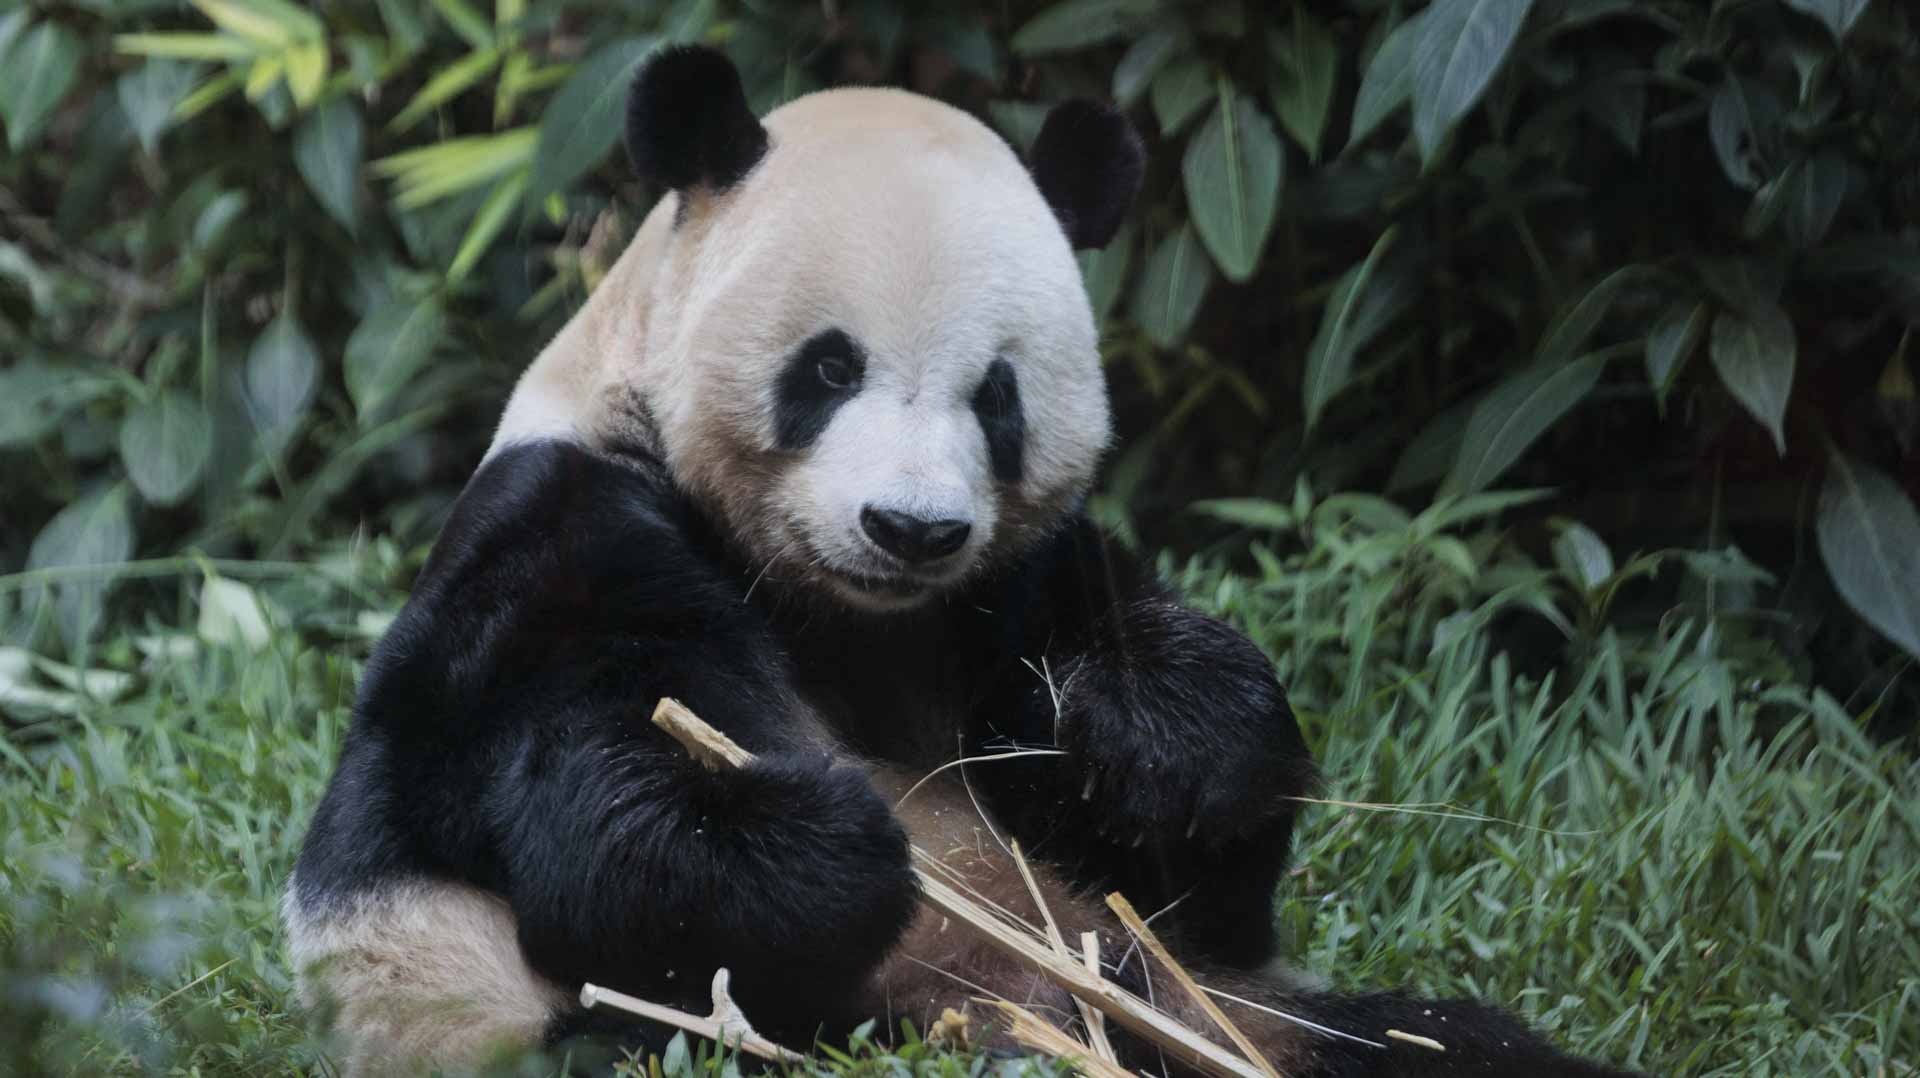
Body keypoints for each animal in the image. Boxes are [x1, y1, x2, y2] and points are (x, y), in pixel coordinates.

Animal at [285, 45, 1635, 1078]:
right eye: (829, 368)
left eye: (998, 395)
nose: (912, 528)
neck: (847, 613)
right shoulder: (558, 535)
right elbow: (593, 813)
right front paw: (833, 845)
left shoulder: (1014, 587)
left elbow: (1196, 861)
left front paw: (1167, 744)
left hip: (1216, 1010)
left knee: (1426, 1041)